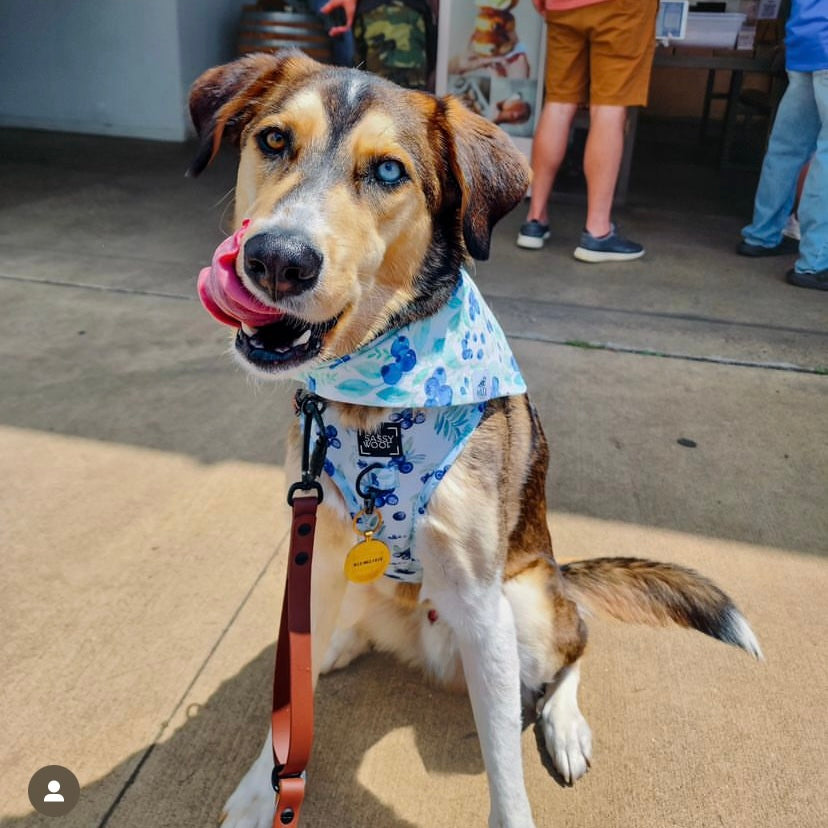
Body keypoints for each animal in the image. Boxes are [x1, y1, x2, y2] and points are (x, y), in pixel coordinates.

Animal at [189, 51, 764, 828]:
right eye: (274, 140)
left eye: (389, 171)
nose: (276, 259)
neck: (375, 403)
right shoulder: (315, 556)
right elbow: (291, 690)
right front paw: (262, 788)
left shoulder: (484, 608)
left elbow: (505, 774)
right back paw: (339, 646)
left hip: (525, 606)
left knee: (576, 641)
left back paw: (564, 723)